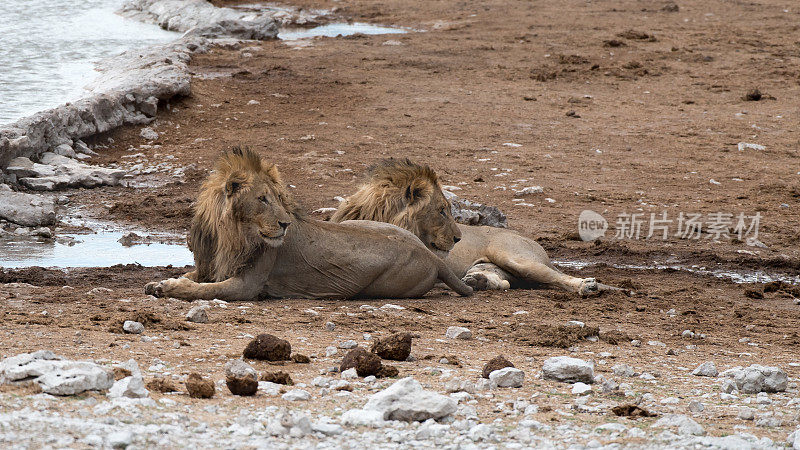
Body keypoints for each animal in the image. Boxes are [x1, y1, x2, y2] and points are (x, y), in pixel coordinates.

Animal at [145, 149, 472, 302]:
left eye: (279, 198)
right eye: (262, 199)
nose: (285, 223)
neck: (229, 234)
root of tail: (430, 255)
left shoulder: (247, 285)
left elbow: (206, 290)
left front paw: (169, 286)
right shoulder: (210, 266)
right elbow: (195, 277)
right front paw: (161, 282)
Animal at [332, 158, 620, 296]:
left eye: (449, 209)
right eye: (441, 210)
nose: (459, 238)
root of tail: (535, 244)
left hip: (515, 256)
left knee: (554, 277)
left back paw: (586, 286)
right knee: (505, 282)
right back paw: (478, 281)